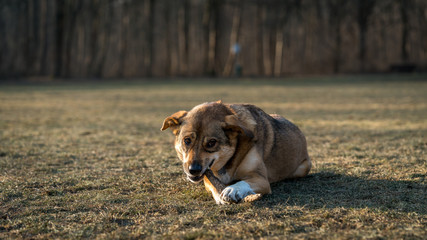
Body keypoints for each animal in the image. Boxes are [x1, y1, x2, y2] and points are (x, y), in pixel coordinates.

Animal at [160, 101, 310, 204]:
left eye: (211, 143)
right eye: (187, 140)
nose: (193, 170)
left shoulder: (261, 179)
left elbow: (243, 183)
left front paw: (233, 190)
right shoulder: (208, 176)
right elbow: (211, 182)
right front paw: (220, 194)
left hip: (303, 168)